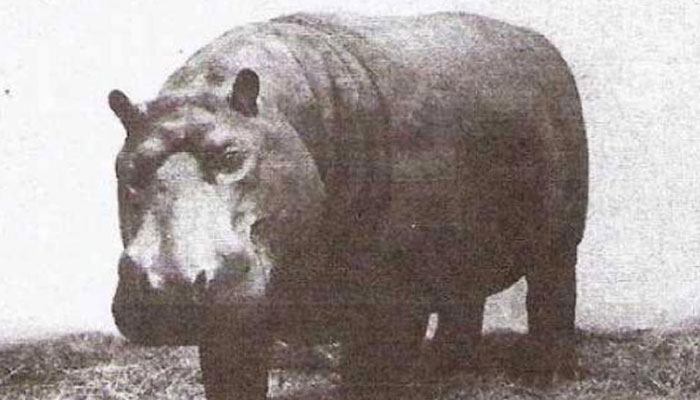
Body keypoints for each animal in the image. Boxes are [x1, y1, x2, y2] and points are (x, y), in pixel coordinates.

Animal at [109, 12, 588, 399]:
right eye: (125, 166)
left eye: (231, 155)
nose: (166, 284)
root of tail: (541, 44)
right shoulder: (234, 317)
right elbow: (232, 376)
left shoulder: (391, 302)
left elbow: (372, 374)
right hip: (459, 248)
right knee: (464, 301)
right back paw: (443, 367)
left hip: (560, 240)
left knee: (552, 293)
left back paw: (547, 375)